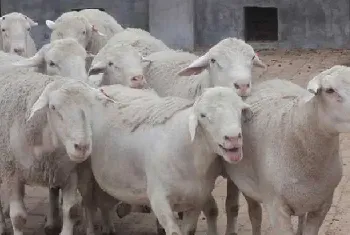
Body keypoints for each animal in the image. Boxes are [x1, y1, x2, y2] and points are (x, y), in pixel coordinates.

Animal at [0, 70, 113, 235]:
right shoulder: (11, 173)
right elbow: (18, 218)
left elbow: (71, 211)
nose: (82, 147)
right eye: (53, 107)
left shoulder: (70, 171)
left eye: (92, 107)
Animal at [76, 84, 252, 235]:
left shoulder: (196, 200)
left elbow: (189, 230)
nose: (233, 138)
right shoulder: (159, 199)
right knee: (88, 204)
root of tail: (103, 87)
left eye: (240, 109)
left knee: (102, 202)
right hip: (84, 170)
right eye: (203, 115)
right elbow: (174, 231)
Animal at [224, 65, 350, 234]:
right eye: (329, 90)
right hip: (244, 183)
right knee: (254, 214)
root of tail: (272, 80)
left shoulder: (323, 205)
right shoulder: (276, 208)